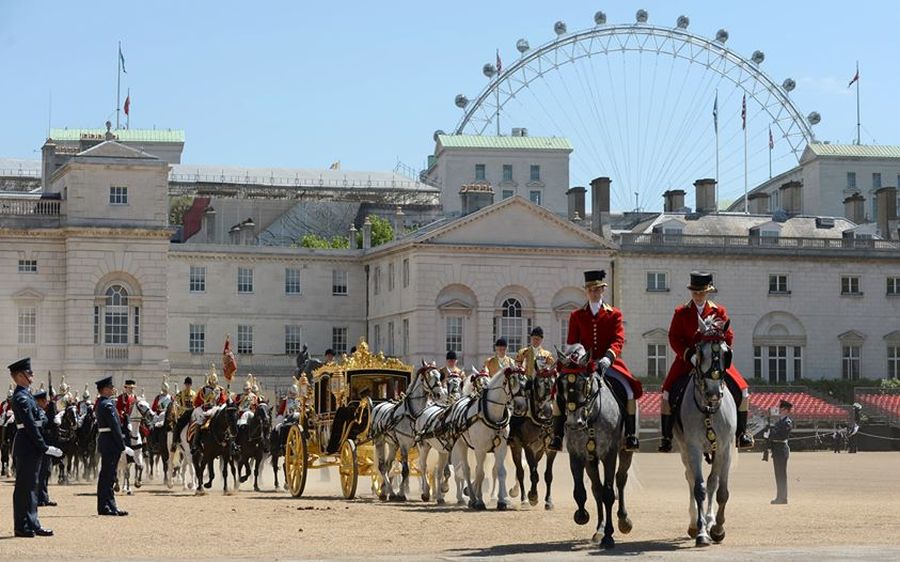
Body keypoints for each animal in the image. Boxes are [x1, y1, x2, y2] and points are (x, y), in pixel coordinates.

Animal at [370, 360, 446, 500]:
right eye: (427, 375)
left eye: (439, 375)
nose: (439, 394)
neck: (414, 414)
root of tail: (379, 405)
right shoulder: (404, 445)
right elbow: (405, 470)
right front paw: (401, 493)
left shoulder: (422, 444)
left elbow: (422, 467)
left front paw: (425, 492)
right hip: (379, 441)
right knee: (382, 467)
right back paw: (390, 492)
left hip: (393, 444)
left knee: (388, 466)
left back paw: (384, 491)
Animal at [450, 360, 528, 510]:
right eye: (513, 380)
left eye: (526, 381)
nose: (521, 407)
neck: (492, 414)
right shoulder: (480, 449)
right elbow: (480, 473)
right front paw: (479, 501)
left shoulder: (501, 448)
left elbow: (501, 471)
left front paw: (502, 501)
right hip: (462, 446)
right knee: (467, 470)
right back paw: (472, 497)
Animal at [556, 344, 632, 544]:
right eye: (562, 385)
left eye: (584, 384)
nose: (574, 423)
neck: (590, 415)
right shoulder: (576, 453)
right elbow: (580, 491)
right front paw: (582, 515)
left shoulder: (609, 453)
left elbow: (609, 493)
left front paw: (609, 536)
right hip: (591, 459)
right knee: (596, 488)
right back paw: (599, 528)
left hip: (625, 450)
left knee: (620, 480)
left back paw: (623, 520)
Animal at [676, 318, 740, 544]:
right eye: (699, 352)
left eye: (726, 353)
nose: (713, 391)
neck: (709, 409)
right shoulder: (693, 447)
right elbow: (699, 488)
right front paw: (702, 531)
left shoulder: (725, 448)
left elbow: (721, 490)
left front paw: (718, 528)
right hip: (684, 449)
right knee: (689, 477)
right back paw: (695, 523)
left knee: (713, 481)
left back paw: (710, 520)